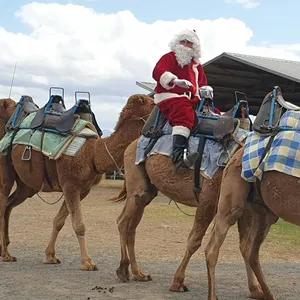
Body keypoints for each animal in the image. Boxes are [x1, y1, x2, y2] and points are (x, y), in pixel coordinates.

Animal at [0, 93, 154, 270]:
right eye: (153, 103)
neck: (94, 153)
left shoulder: (82, 189)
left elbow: (59, 221)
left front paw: (50, 256)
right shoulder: (70, 185)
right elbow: (79, 225)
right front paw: (87, 262)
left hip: (27, 186)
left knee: (9, 205)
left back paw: (6, 249)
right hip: (5, 169)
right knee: (3, 205)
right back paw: (5, 254)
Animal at [110, 104, 264, 298]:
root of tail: (133, 143)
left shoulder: (243, 210)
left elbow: (244, 246)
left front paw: (255, 289)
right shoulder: (209, 199)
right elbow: (194, 240)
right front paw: (177, 282)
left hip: (147, 192)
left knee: (132, 226)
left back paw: (138, 273)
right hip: (135, 184)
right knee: (123, 221)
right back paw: (123, 269)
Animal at [205, 144, 298, 300]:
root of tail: (236, 154)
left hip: (263, 213)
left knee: (249, 251)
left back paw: (264, 293)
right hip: (232, 204)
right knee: (213, 249)